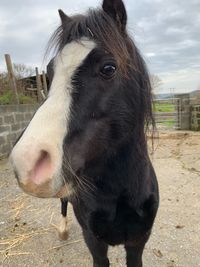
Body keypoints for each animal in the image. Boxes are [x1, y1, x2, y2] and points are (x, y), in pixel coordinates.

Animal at [10, 1, 159, 266]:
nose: (26, 161)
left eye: (109, 68)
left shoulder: (137, 242)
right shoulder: (95, 243)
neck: (120, 193)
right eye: (50, 72)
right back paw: (62, 229)